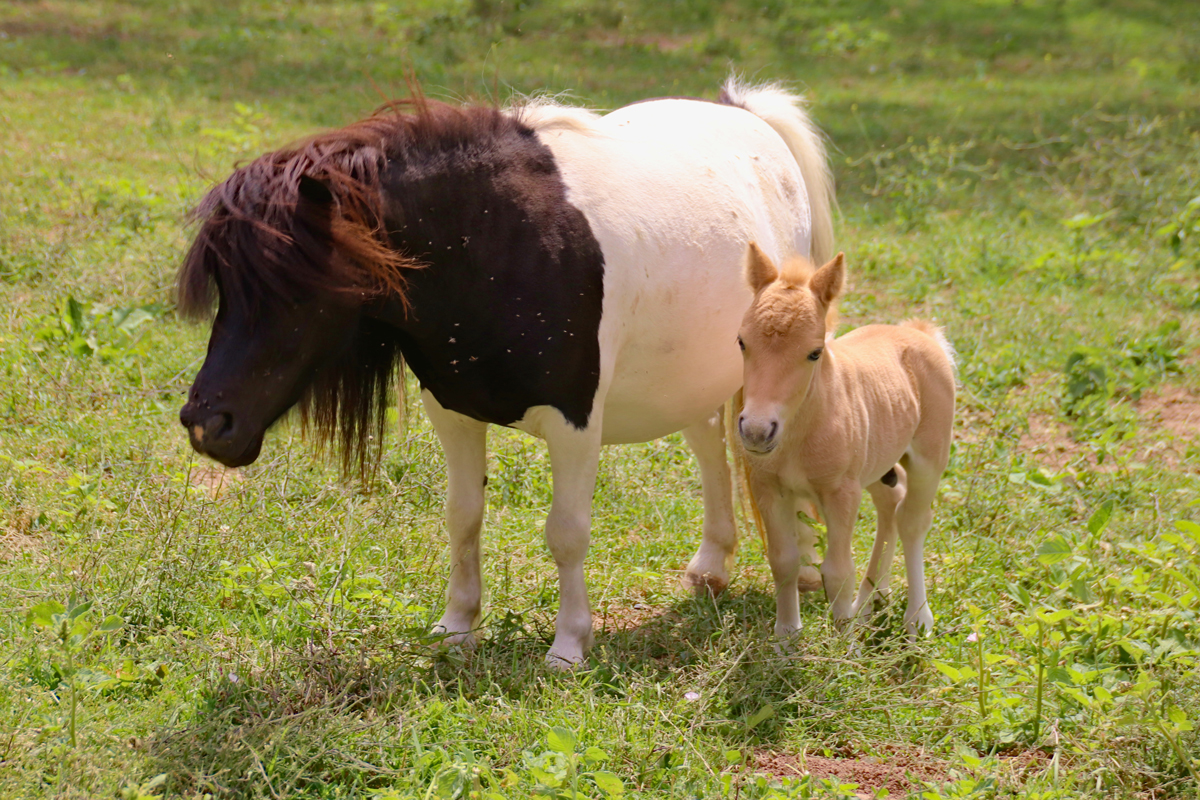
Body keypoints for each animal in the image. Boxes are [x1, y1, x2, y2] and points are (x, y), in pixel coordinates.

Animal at [177, 82, 835, 671]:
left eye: (292, 288)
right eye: (225, 287)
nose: (206, 423)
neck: (496, 246)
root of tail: (743, 112)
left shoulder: (575, 423)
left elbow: (566, 532)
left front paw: (569, 645)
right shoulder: (452, 411)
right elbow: (463, 515)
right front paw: (456, 625)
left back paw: (800, 562)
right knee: (706, 441)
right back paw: (713, 565)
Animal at [729, 244, 955, 638]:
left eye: (814, 352)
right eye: (742, 342)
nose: (756, 430)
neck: (800, 432)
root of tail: (922, 335)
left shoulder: (841, 493)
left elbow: (838, 572)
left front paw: (843, 643)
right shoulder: (768, 487)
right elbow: (783, 561)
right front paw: (786, 637)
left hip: (929, 458)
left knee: (912, 520)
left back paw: (916, 618)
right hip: (878, 463)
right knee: (891, 504)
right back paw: (869, 601)